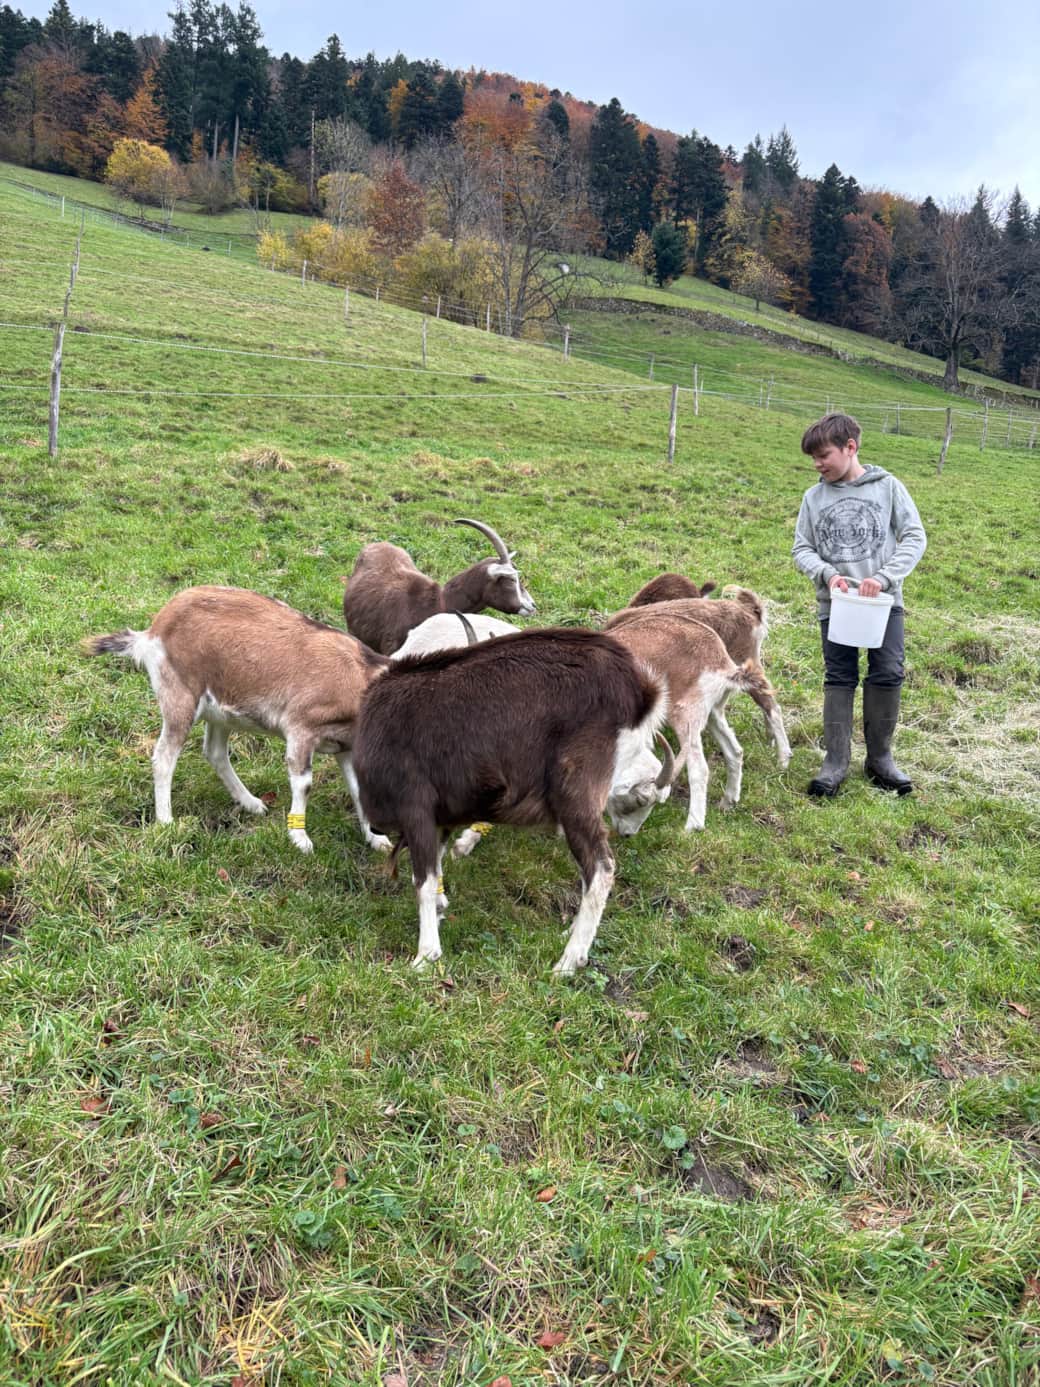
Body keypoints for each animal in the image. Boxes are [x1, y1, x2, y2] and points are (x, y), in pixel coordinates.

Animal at [86, 585, 392, 853]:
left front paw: (377, 840)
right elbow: (304, 783)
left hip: (220, 711)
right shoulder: (301, 728)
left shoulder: (346, 745)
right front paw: (300, 840)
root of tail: (151, 632)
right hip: (179, 697)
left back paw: (252, 803)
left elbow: (358, 788)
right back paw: (166, 823)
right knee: (163, 757)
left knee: (214, 752)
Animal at [352, 628, 673, 973]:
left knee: (601, 869)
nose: (629, 832)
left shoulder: (416, 809)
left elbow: (423, 880)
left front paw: (425, 955)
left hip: (576, 793)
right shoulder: (443, 818)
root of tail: (640, 690)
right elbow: (436, 869)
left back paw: (568, 961)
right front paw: (440, 911)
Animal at [605, 608, 776, 830]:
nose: (625, 833)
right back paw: (728, 802)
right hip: (712, 712)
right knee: (735, 751)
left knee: (700, 768)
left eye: (640, 800)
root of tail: (724, 665)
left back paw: (693, 827)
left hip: (685, 714)